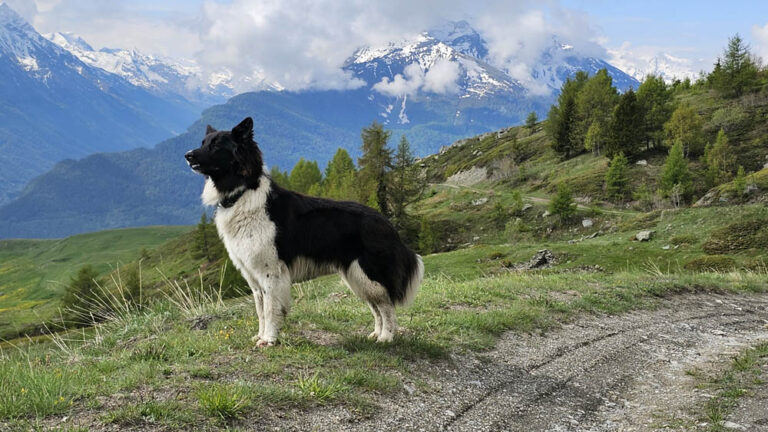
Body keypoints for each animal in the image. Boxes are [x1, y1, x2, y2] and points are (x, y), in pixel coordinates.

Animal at [186, 116, 426, 346]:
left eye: (216, 146)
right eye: (203, 143)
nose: (187, 155)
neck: (243, 192)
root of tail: (386, 223)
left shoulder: (271, 272)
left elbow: (270, 309)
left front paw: (270, 339)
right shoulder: (253, 277)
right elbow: (260, 310)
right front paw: (260, 336)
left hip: (368, 274)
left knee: (387, 306)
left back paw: (387, 337)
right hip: (356, 277)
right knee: (376, 306)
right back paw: (376, 334)